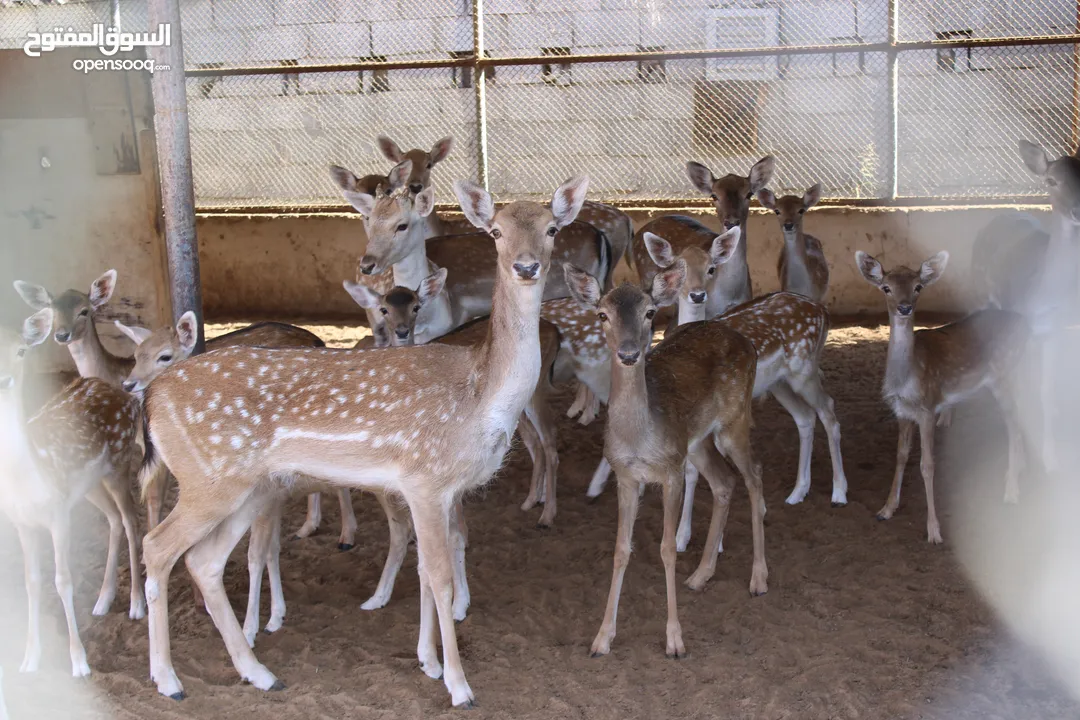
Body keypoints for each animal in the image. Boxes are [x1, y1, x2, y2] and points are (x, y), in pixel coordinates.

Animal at [0, 308, 145, 677]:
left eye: (21, 350)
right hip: (89, 485)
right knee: (112, 519)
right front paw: (29, 659)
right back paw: (103, 599)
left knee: (130, 521)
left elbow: (62, 580)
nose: (5, 379)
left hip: (120, 462)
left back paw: (137, 603)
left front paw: (79, 662)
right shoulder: (21, 521)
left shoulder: (58, 514)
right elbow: (31, 581)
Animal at [136, 174, 591, 703]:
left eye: (553, 228)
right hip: (208, 479)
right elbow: (438, 577)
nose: (526, 266)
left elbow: (427, 568)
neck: (479, 397)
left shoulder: (442, 490)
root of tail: (152, 398)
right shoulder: (425, 479)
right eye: (495, 231)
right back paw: (169, 680)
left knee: (204, 560)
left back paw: (259, 673)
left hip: (250, 488)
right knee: (158, 547)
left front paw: (427, 661)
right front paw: (458, 685)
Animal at [565, 259, 768, 660]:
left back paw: (758, 577)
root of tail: (747, 341)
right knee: (725, 482)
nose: (629, 354)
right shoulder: (627, 477)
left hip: (734, 421)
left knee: (754, 475)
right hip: (697, 441)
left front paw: (675, 641)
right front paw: (601, 639)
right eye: (602, 315)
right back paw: (701, 575)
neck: (639, 439)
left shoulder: (671, 472)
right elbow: (620, 550)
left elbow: (667, 548)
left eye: (650, 313)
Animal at [859, 250, 1028, 544]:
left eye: (918, 286)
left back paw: (1011, 492)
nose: (905, 308)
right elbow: (900, 456)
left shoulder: (928, 408)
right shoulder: (901, 412)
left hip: (1005, 375)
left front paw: (934, 531)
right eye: (886, 287)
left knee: (1015, 424)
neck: (906, 379)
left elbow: (927, 465)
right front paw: (886, 509)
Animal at [972, 139, 1080, 472]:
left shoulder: (1056, 331)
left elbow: (1047, 391)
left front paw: (1051, 459)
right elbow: (1022, 393)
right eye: (1051, 180)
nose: (1077, 210)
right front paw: (1019, 461)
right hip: (980, 289)